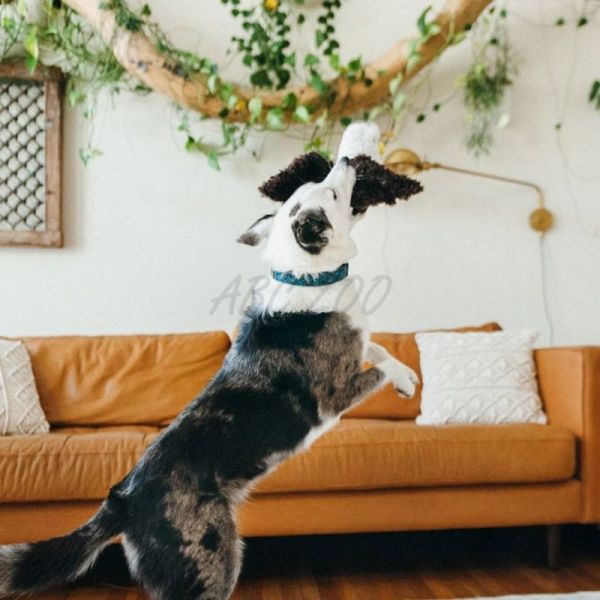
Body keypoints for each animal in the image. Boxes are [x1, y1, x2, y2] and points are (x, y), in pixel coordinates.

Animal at [0, 124, 422, 600]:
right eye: (331, 192)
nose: (348, 161)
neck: (306, 276)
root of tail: (122, 500)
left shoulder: (357, 342)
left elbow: (379, 348)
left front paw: (408, 377)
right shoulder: (336, 392)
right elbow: (377, 366)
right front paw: (400, 377)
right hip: (212, 559)